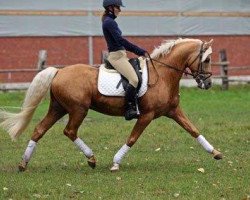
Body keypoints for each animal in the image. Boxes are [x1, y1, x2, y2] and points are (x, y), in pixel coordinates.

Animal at [0, 38, 223, 172]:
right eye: (207, 59)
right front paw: (116, 162)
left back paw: (23, 163)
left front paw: (215, 153)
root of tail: (59, 71)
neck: (163, 74)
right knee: (69, 131)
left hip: (58, 108)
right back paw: (91, 159)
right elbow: (132, 138)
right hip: (78, 109)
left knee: (39, 130)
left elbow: (193, 130)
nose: (208, 84)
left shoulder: (173, 111)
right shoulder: (147, 115)